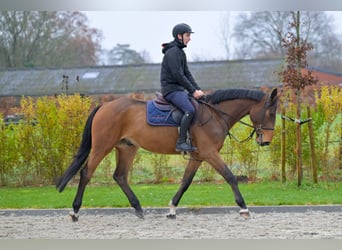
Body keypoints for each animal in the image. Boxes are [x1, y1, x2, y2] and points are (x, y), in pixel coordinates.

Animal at [56, 87, 278, 221]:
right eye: (271, 113)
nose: (266, 140)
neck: (215, 115)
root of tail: (104, 105)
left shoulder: (198, 156)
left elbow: (185, 182)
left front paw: (172, 209)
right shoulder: (210, 154)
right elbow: (231, 177)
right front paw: (243, 208)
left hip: (127, 148)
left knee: (120, 176)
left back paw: (138, 209)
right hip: (102, 147)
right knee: (86, 174)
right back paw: (74, 211)